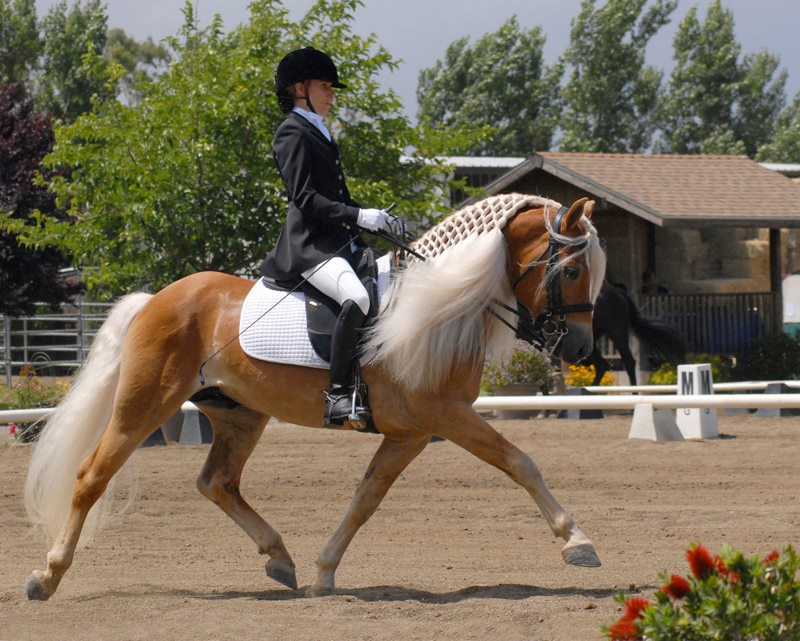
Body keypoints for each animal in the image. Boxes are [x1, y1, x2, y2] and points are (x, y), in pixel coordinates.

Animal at [25, 192, 608, 596]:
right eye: (572, 270)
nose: (580, 347)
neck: (440, 308)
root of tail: (155, 300)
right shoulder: (447, 415)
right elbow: (520, 462)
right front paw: (577, 542)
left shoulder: (413, 432)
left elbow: (366, 498)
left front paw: (325, 573)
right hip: (144, 406)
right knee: (92, 476)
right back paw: (46, 577)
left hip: (240, 415)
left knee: (217, 482)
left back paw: (279, 558)